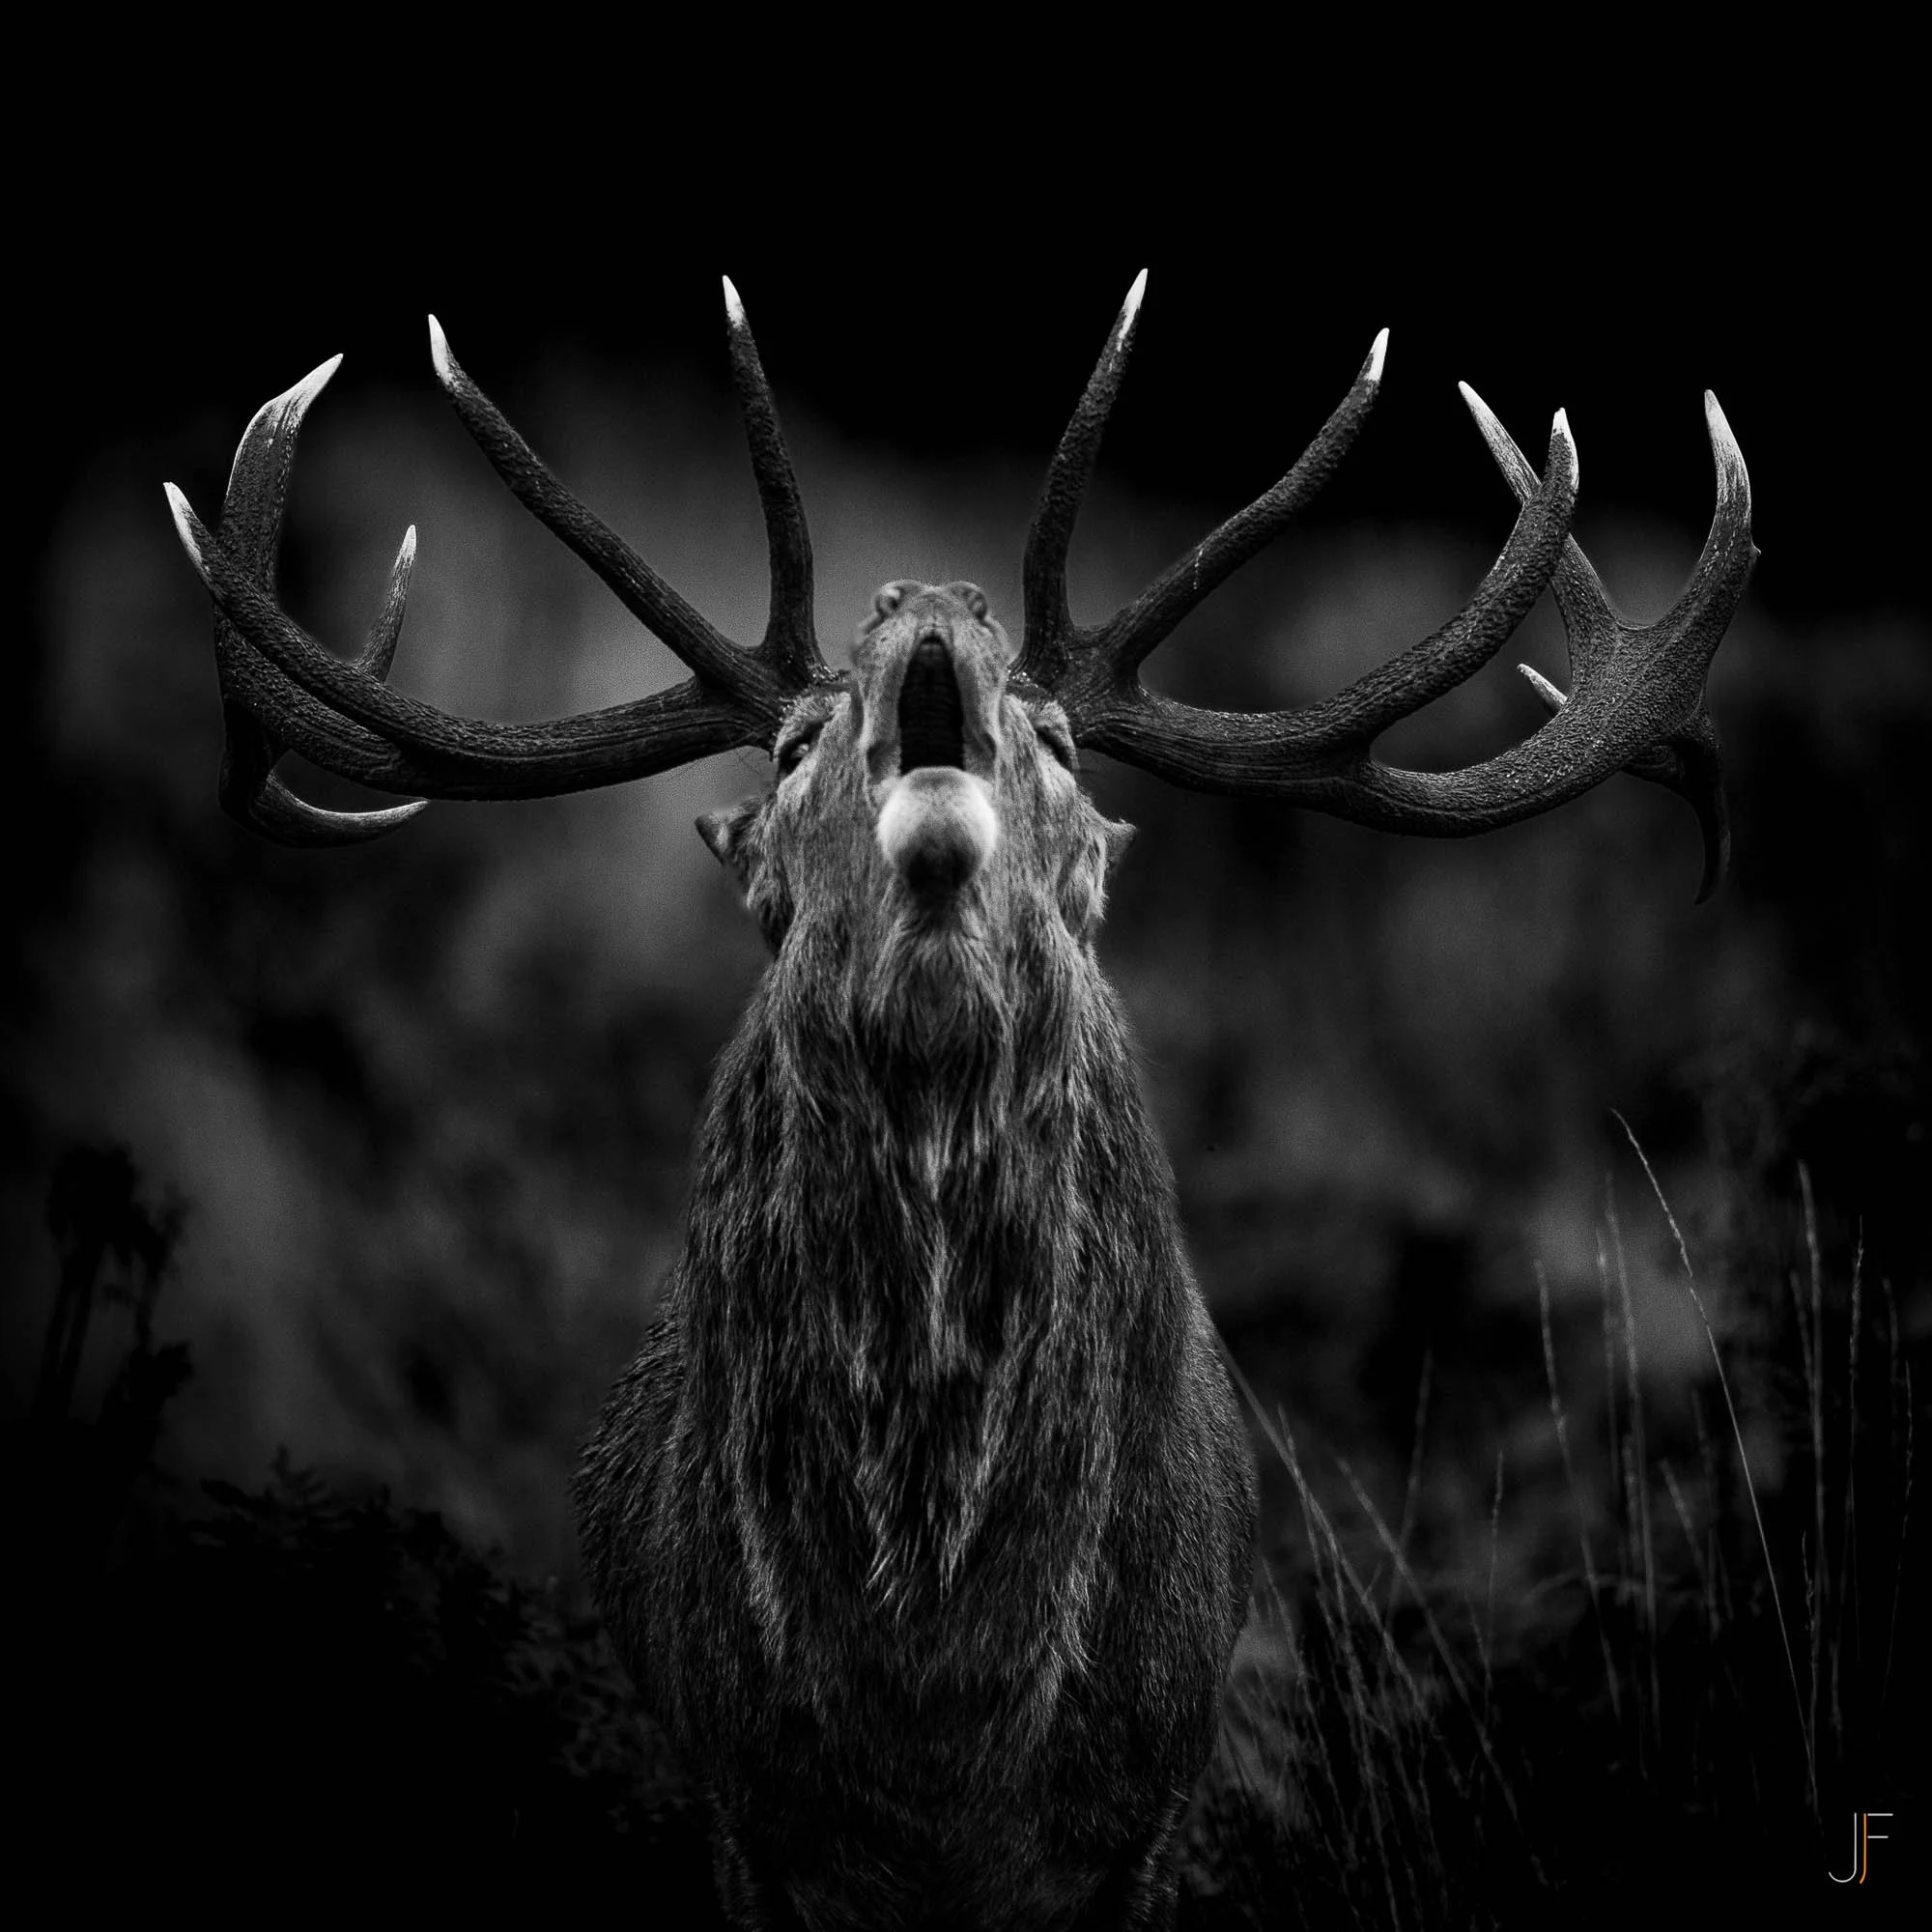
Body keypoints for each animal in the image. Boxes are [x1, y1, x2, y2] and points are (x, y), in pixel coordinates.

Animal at [164, 272, 1754, 1929]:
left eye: (1054, 741)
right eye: (797, 742)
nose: (932, 641)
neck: (940, 1721)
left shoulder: (1142, 1814)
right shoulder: (747, 1810)